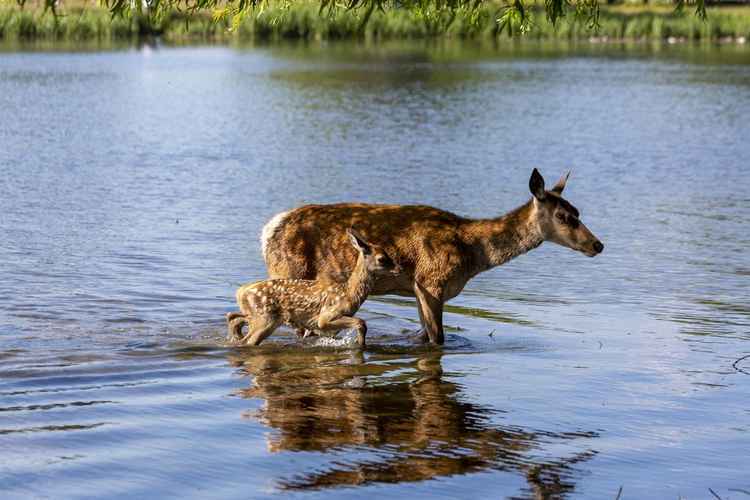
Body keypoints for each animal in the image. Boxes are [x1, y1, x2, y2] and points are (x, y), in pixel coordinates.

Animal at [262, 170, 604, 346]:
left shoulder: (418, 287)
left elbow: (425, 334)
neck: (473, 252)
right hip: (290, 273)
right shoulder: (431, 280)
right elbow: (437, 339)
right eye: (563, 216)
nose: (597, 244)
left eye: (578, 211)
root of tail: (268, 230)